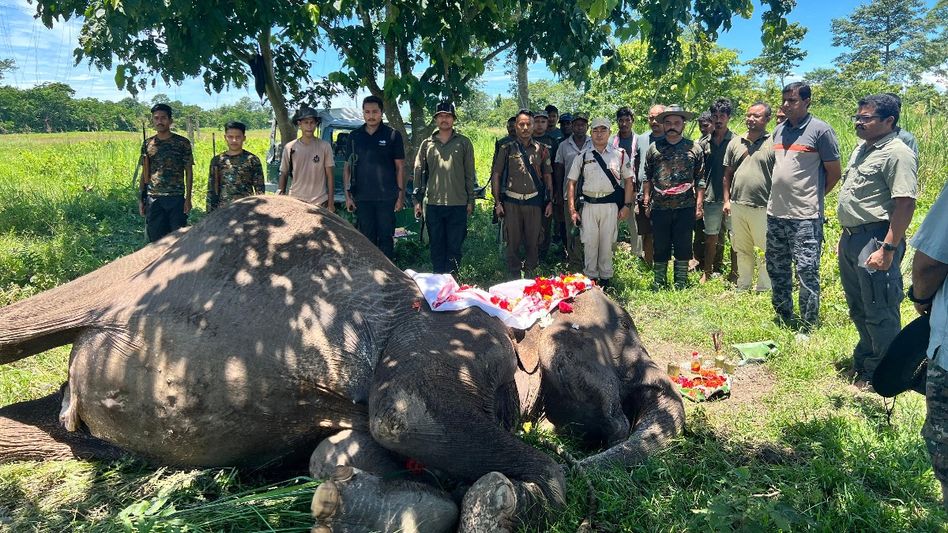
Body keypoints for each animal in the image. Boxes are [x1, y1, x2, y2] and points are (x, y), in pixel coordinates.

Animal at [0, 195, 684, 532]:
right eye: (618, 340)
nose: (617, 421)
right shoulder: (448, 336)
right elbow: (403, 414)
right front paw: (504, 503)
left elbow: (336, 452)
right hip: (125, 272)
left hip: (84, 425)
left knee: (50, 432)